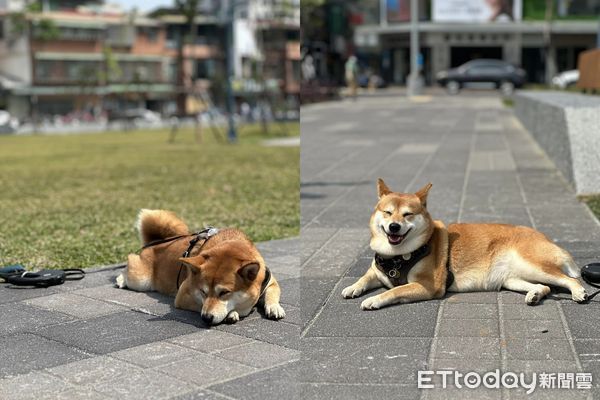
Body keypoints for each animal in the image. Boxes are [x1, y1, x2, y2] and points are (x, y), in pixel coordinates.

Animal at [118, 209, 288, 324]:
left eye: (224, 292)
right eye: (203, 291)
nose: (206, 318)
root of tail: (158, 241)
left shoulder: (270, 281)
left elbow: (272, 294)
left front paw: (274, 307)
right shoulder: (183, 295)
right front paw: (232, 313)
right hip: (140, 280)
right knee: (130, 259)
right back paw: (121, 279)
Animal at [340, 179, 588, 310]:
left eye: (408, 214)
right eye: (388, 212)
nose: (393, 227)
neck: (397, 256)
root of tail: (544, 236)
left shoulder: (429, 285)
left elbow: (395, 290)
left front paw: (374, 299)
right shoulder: (378, 270)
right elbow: (365, 277)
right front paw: (353, 288)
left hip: (533, 264)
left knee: (569, 279)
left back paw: (578, 292)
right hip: (512, 278)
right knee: (544, 287)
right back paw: (535, 294)